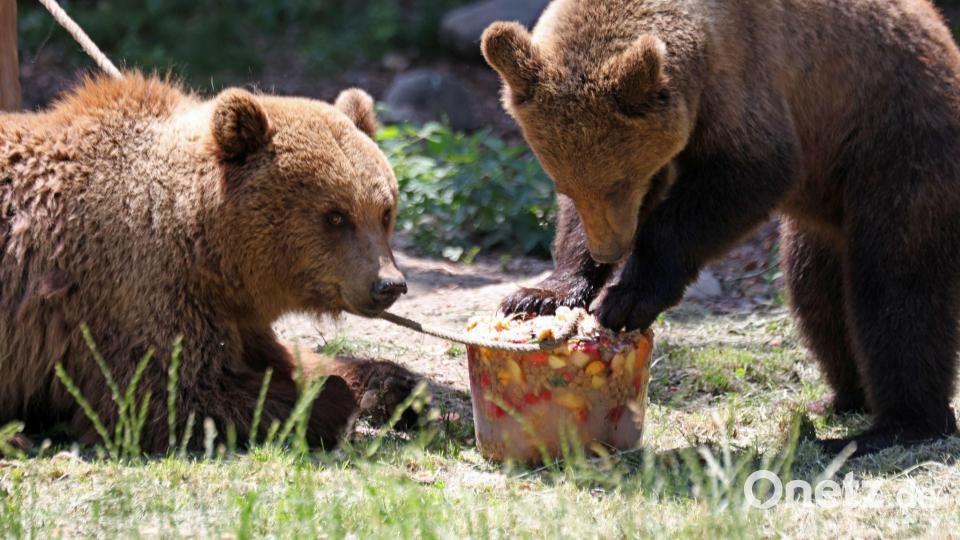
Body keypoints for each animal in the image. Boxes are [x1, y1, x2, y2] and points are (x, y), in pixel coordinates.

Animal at [0, 73, 420, 452]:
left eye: (384, 211)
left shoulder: (236, 312)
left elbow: (286, 357)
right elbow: (171, 396)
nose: (389, 284)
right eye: (335, 216)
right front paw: (332, 401)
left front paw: (398, 386)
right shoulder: (136, 290)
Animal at [482, 0, 960, 456]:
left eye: (619, 182)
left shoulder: (744, 81)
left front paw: (626, 299)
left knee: (896, 289)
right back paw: (839, 399)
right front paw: (539, 294)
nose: (609, 250)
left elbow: (748, 175)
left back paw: (896, 425)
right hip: (827, 213)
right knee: (816, 294)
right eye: (563, 183)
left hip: (893, 142)